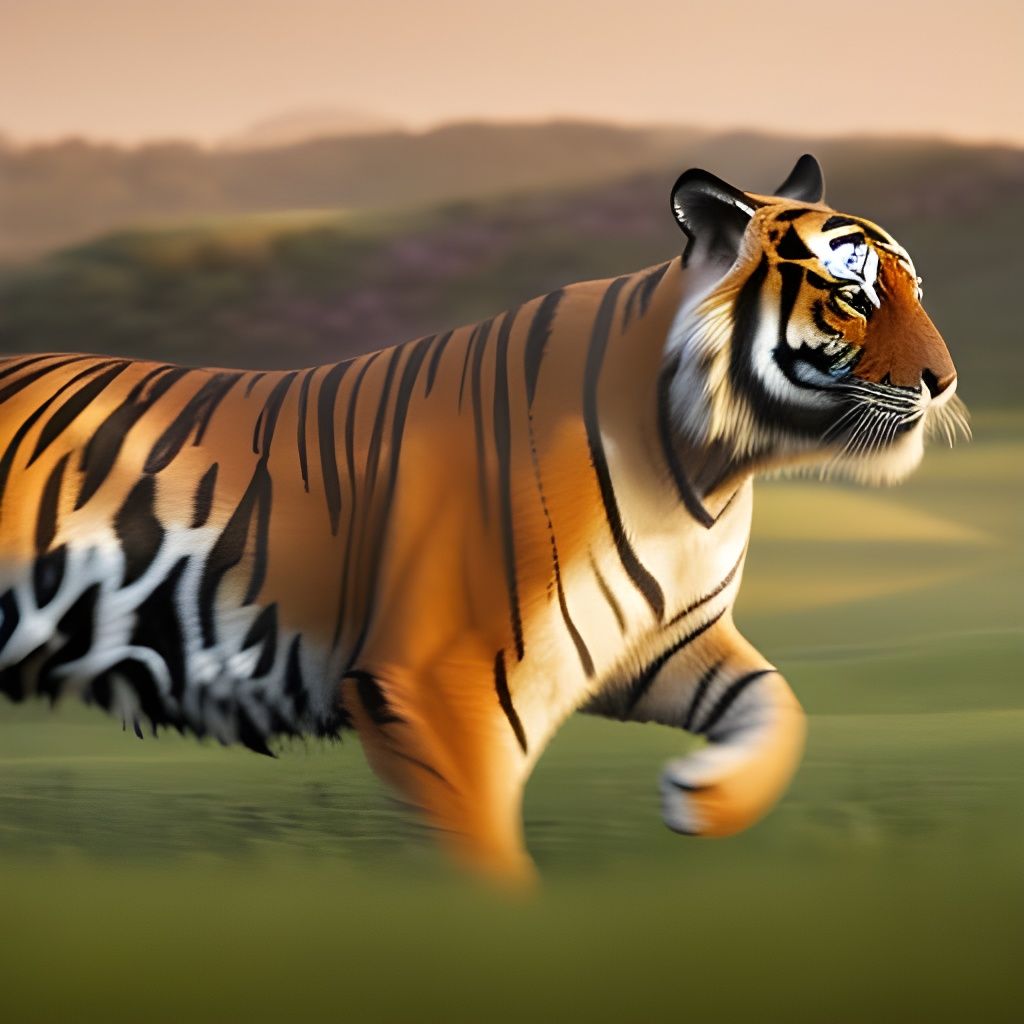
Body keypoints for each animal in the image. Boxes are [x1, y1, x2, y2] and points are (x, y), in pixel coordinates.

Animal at [0, 154, 966, 882]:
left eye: (915, 288)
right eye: (853, 297)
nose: (947, 382)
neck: (709, 469)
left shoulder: (659, 641)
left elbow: (779, 706)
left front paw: (700, 798)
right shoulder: (440, 680)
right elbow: (484, 856)